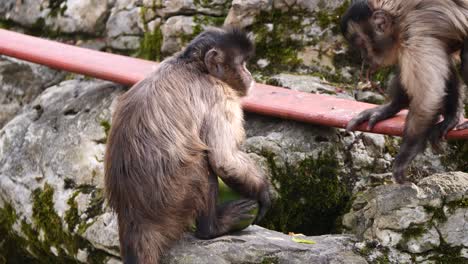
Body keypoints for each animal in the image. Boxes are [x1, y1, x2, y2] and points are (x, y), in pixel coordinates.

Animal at [102, 27, 270, 262]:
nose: (250, 75)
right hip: (174, 198)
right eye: (243, 64)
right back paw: (211, 228)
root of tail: (134, 213)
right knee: (203, 162)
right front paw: (263, 193)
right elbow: (224, 160)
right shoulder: (219, 93)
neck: (192, 65)